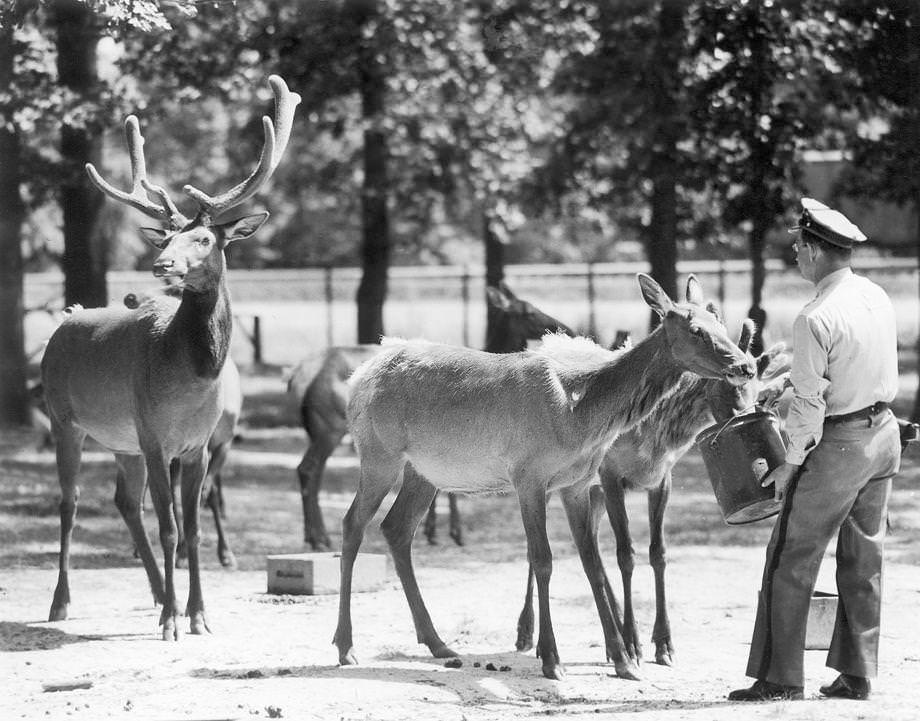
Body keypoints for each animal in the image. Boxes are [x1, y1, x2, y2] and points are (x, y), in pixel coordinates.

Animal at [40, 76, 298, 640]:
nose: (161, 263)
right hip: (65, 420)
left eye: (203, 238)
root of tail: (64, 320)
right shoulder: (156, 437)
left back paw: (161, 595)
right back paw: (62, 603)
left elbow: (193, 526)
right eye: (169, 237)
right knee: (70, 504)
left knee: (124, 503)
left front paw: (198, 614)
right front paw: (171, 623)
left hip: (123, 441)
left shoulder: (195, 443)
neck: (192, 381)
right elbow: (170, 527)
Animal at [288, 278, 576, 548]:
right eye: (528, 312)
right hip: (331, 426)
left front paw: (432, 529)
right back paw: (319, 537)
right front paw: (449, 532)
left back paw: (313, 536)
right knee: (310, 468)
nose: (566, 328)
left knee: (309, 469)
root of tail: (299, 380)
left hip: (322, 430)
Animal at [334, 272, 760, 676]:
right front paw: (553, 660)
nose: (746, 365)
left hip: (424, 472)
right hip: (378, 452)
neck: (579, 414)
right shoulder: (528, 474)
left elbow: (591, 562)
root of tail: (359, 377)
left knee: (396, 528)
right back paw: (345, 646)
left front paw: (624, 661)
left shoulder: (578, 483)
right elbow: (543, 559)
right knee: (353, 523)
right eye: (695, 329)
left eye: (719, 320)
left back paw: (438, 642)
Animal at [512, 316, 788, 676]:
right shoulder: (610, 474)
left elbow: (658, 553)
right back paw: (526, 633)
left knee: (591, 543)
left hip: (590, 493)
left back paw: (610, 629)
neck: (655, 436)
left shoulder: (661, 478)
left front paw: (663, 644)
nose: (745, 419)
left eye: (760, 394)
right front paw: (633, 643)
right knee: (539, 549)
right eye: (727, 385)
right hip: (550, 480)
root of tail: (549, 339)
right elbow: (625, 555)